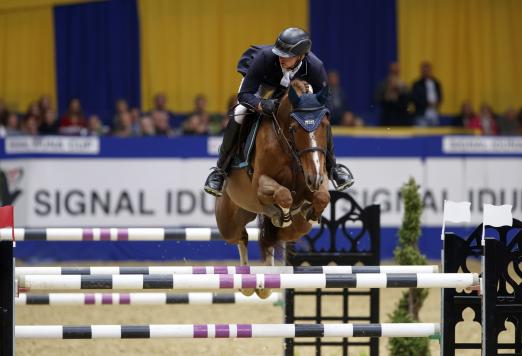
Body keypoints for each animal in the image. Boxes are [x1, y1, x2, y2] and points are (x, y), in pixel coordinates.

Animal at [212, 80, 328, 298]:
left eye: (326, 126)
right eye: (294, 128)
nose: (314, 178)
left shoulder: (317, 180)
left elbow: (322, 197)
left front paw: (310, 211)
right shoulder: (260, 184)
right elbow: (283, 194)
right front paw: (281, 214)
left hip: (296, 230)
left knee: (273, 238)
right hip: (228, 221)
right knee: (240, 236)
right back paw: (247, 284)